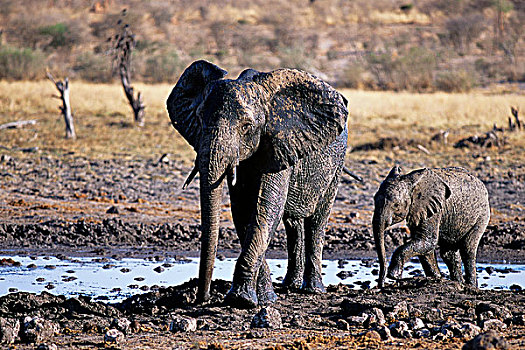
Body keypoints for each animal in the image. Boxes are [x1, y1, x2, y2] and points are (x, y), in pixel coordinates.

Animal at [167, 60, 348, 308]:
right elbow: (243, 212)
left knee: (318, 220)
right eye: (200, 118)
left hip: (337, 163)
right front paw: (263, 299)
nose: (201, 299)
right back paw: (289, 286)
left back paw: (313, 290)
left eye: (246, 126)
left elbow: (266, 209)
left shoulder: (279, 144)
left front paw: (240, 300)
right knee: (293, 224)